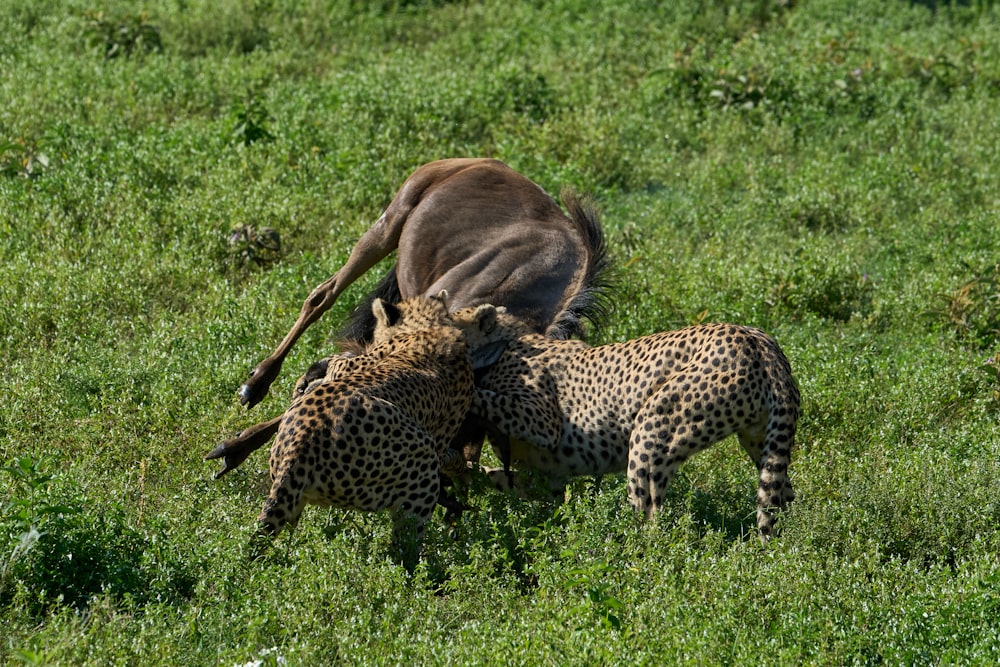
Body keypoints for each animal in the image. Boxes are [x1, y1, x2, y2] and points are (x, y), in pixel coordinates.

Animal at [456, 308, 804, 544]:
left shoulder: (544, 421)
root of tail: (756, 338)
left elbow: (490, 399)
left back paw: (629, 554)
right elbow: (501, 479)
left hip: (651, 428)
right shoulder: (545, 476)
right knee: (781, 496)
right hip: (762, 440)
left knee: (650, 515)